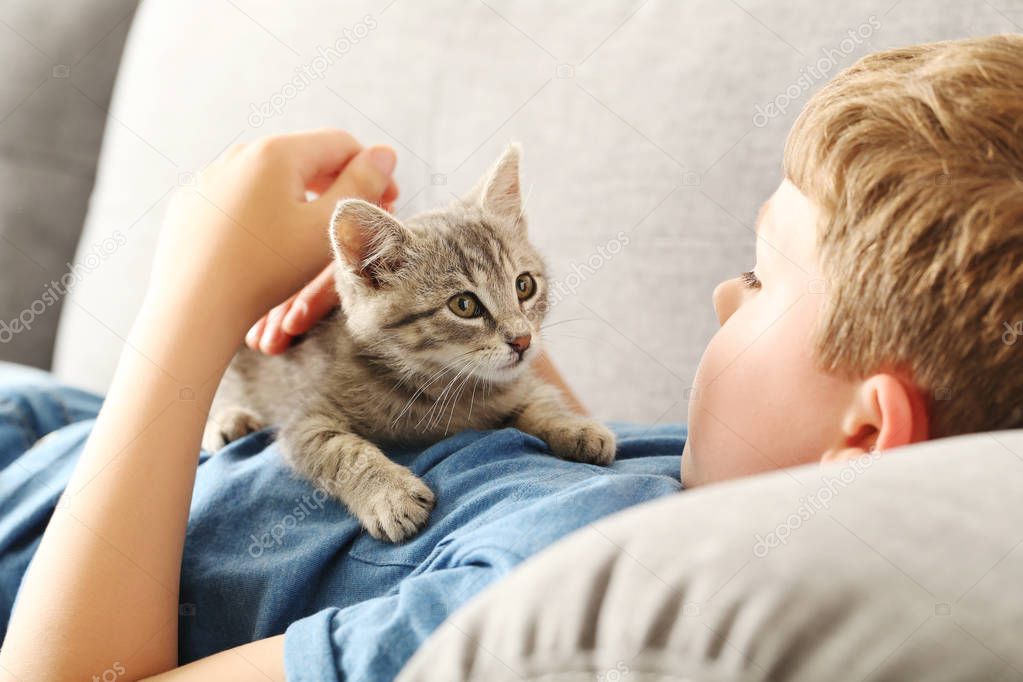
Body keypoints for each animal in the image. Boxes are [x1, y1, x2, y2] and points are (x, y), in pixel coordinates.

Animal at [203, 145, 609, 543]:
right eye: (464, 305)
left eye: (524, 285)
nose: (522, 340)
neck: (441, 388)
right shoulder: (303, 418)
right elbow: (340, 450)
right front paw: (389, 494)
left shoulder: (512, 386)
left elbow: (540, 399)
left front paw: (576, 427)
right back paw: (228, 420)